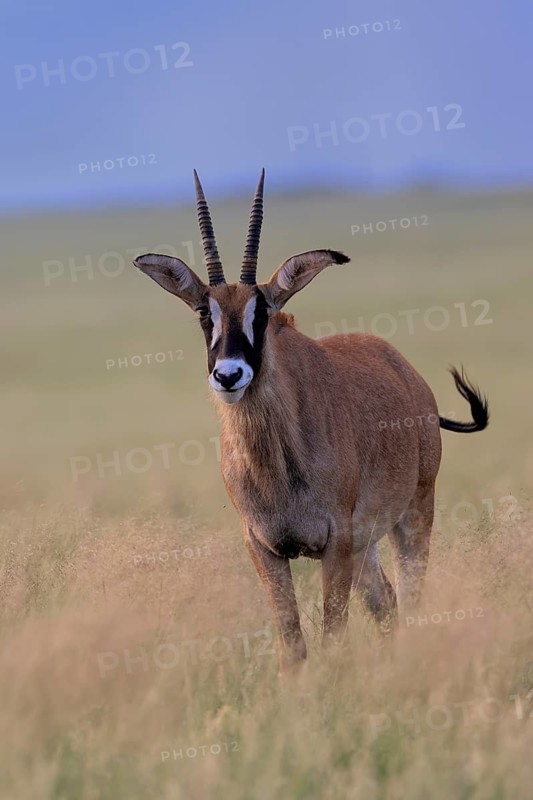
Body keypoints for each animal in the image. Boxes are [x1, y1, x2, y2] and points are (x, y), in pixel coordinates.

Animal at [133, 170, 489, 670]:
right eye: (205, 312)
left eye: (263, 311)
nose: (229, 374)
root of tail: (406, 371)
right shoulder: (264, 547)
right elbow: (293, 643)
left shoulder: (333, 544)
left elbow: (333, 637)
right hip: (365, 546)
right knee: (387, 603)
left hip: (413, 514)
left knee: (412, 598)